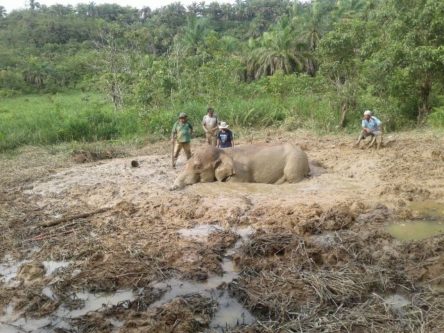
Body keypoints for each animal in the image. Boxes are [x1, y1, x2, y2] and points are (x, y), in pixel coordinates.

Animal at [170, 143, 308, 189]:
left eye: (198, 167)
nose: (172, 188)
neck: (223, 151)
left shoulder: (240, 173)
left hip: (295, 162)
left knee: (292, 178)